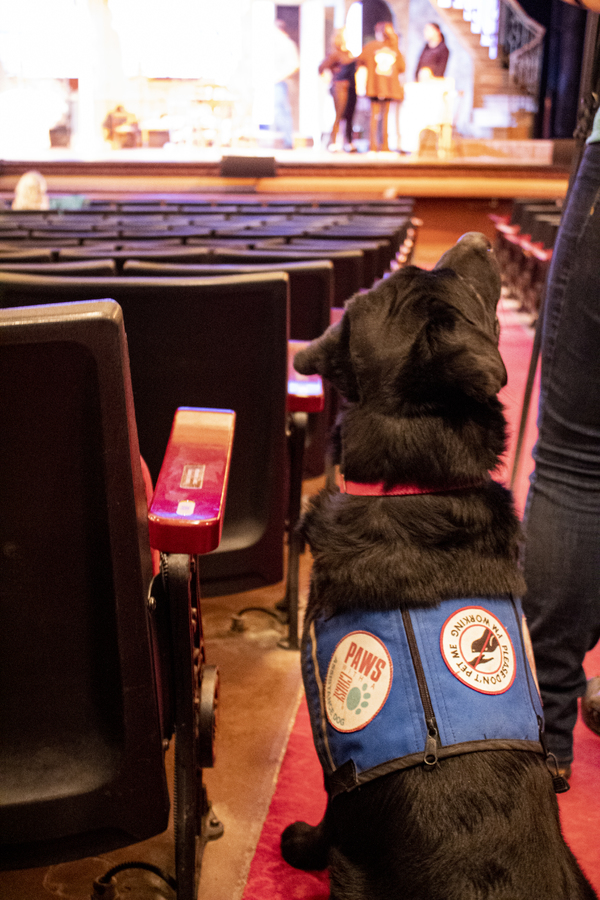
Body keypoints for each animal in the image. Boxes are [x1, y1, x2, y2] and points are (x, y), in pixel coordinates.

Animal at [282, 234, 596, 900]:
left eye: (444, 278)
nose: (478, 237)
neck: (414, 484)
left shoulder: (339, 764)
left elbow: (329, 814)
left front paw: (298, 845)